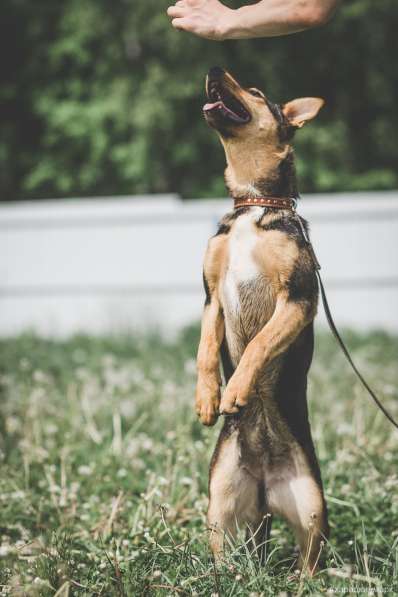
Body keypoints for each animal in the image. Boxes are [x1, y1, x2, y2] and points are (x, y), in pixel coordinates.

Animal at [197, 66, 330, 572]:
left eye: (255, 92)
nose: (213, 69)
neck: (255, 206)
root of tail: (266, 494)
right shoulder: (211, 298)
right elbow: (204, 353)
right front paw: (207, 397)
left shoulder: (297, 299)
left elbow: (258, 345)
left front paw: (236, 390)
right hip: (219, 504)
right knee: (224, 555)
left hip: (311, 506)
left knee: (310, 563)